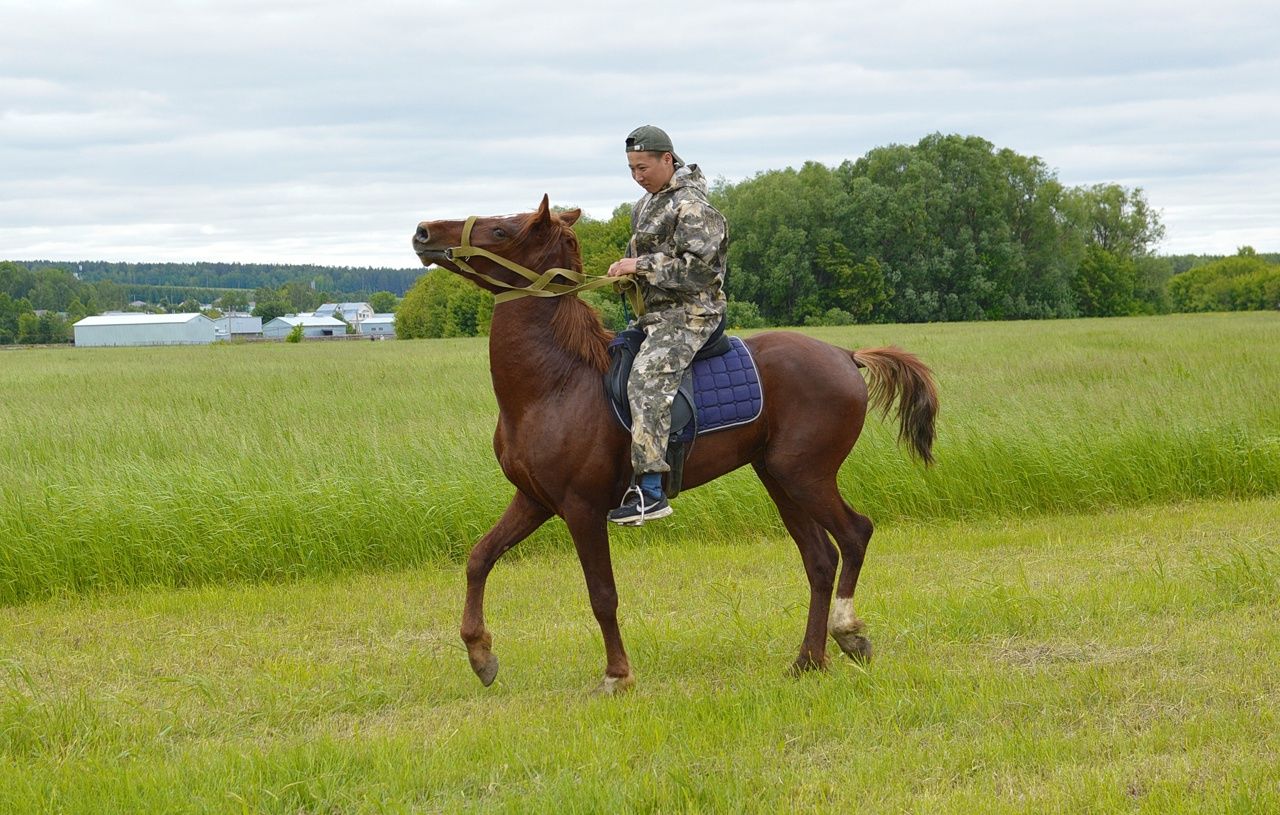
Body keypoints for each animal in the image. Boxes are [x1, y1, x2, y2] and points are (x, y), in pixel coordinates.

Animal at [414, 195, 936, 690]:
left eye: (502, 230)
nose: (423, 231)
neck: (555, 382)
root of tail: (846, 355)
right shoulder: (534, 500)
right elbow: (479, 558)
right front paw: (480, 654)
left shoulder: (582, 508)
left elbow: (602, 595)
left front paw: (617, 675)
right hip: (779, 479)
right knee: (821, 561)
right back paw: (808, 660)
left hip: (806, 477)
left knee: (855, 534)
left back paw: (848, 633)